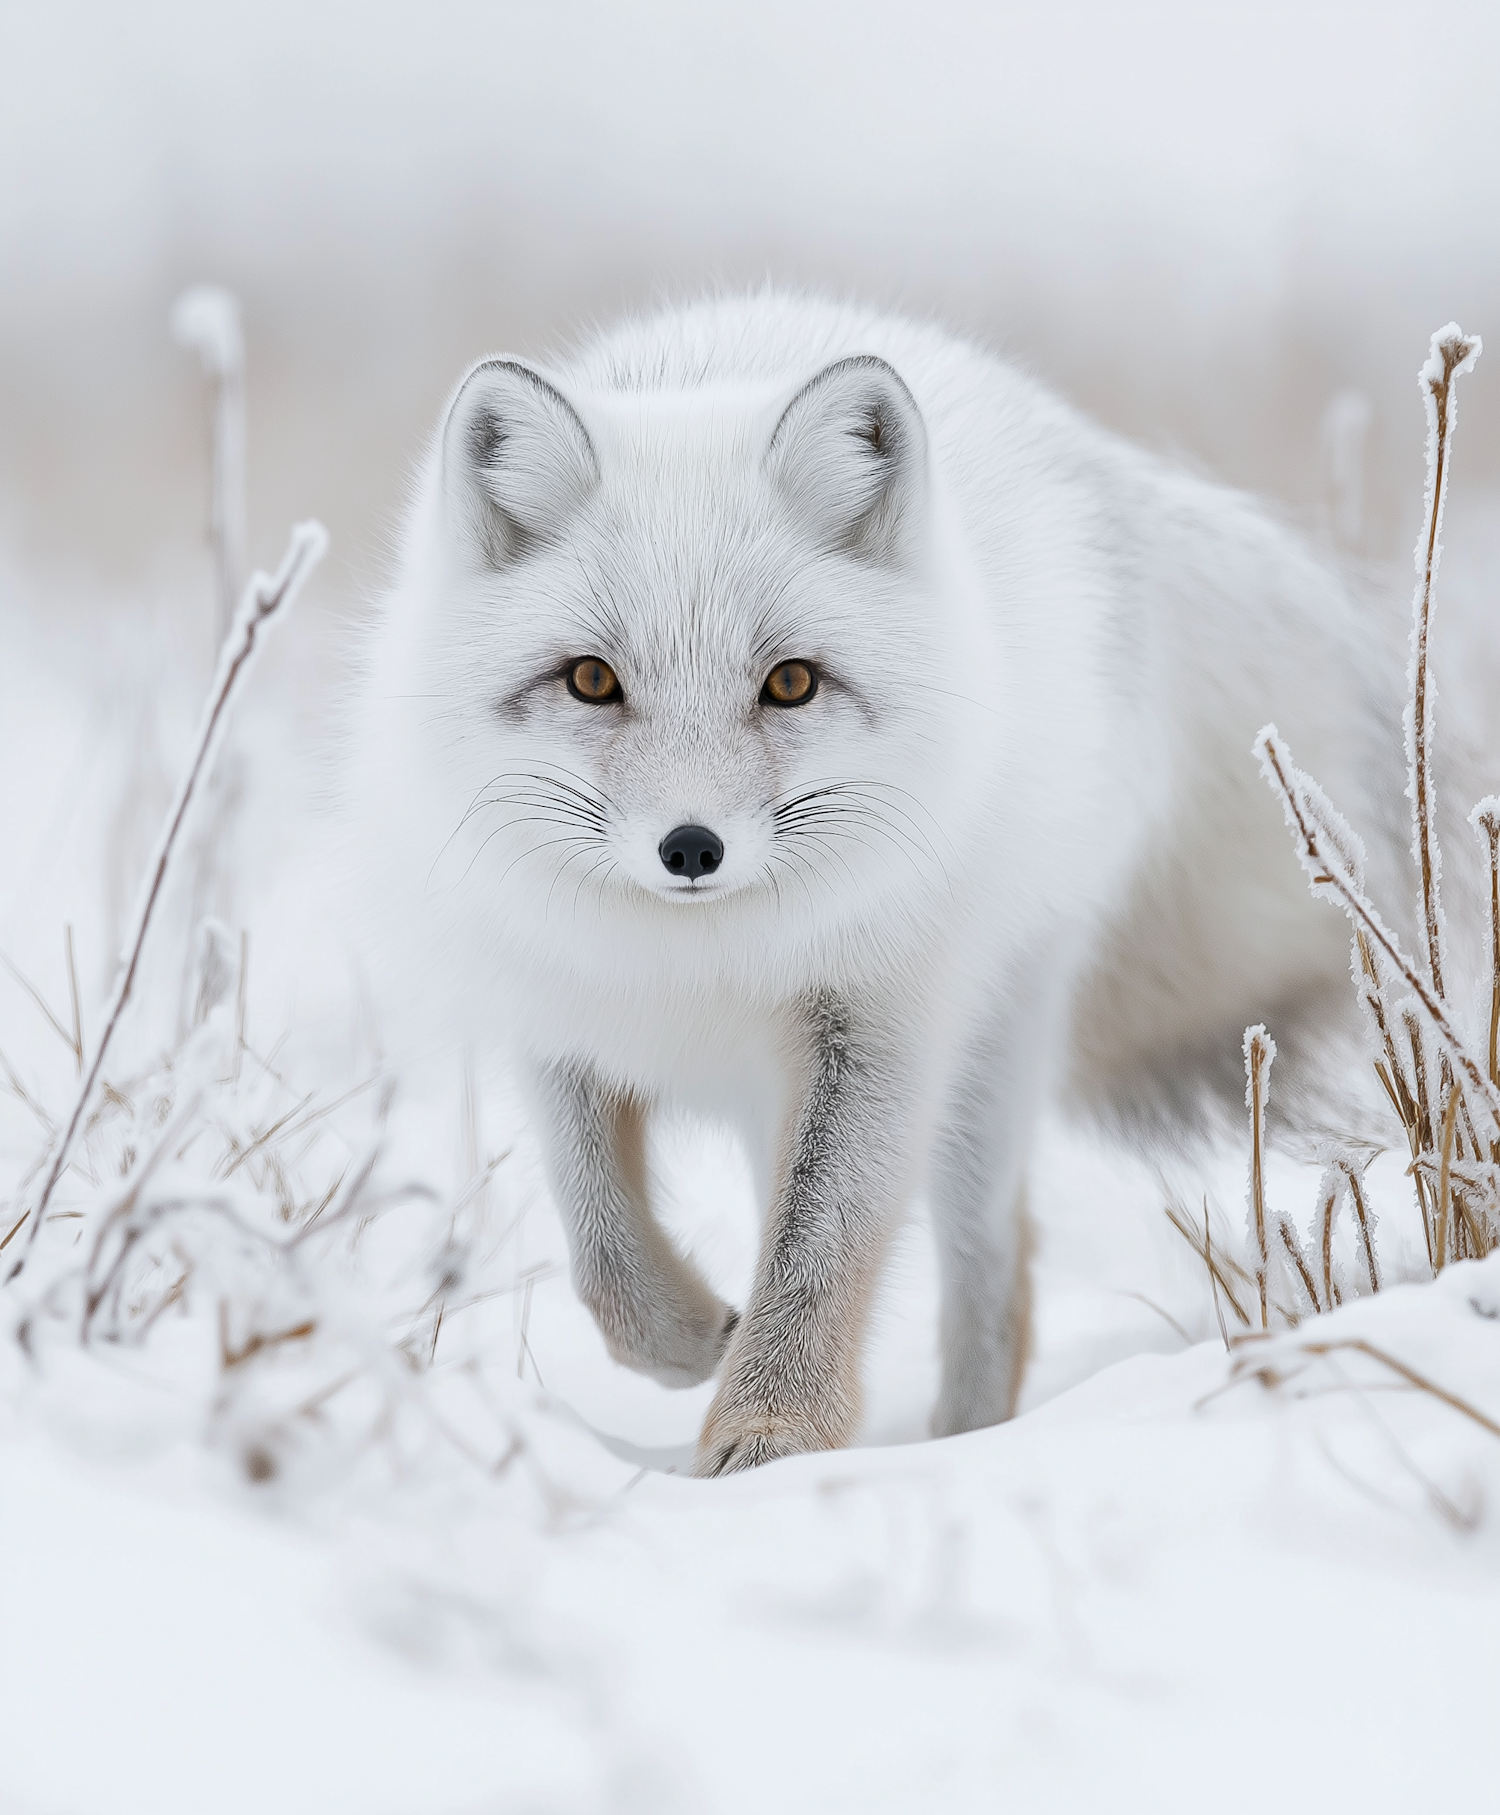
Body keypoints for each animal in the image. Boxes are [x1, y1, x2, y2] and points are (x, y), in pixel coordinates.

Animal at [355, 286, 1394, 1473]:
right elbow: (605, 1253)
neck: (693, 963)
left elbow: (819, 1253)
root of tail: (1086, 453)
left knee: (994, 1253)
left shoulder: (879, 1024)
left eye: (790, 684)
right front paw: (687, 1343)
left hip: (988, 1054)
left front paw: (771, 1435)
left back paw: (970, 1438)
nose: (691, 849)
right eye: (591, 679)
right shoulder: (555, 1008)